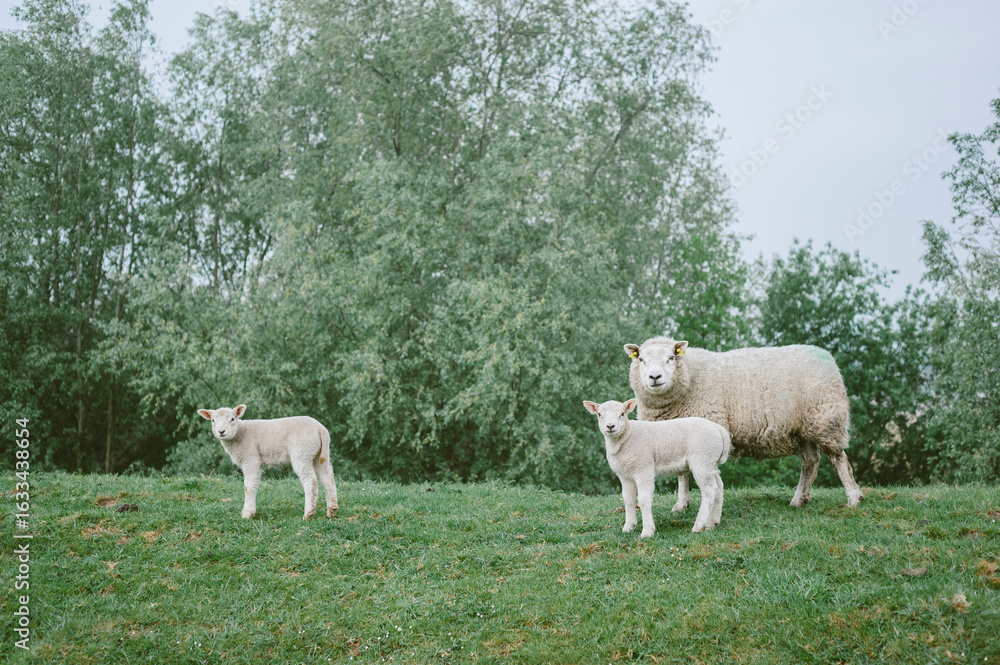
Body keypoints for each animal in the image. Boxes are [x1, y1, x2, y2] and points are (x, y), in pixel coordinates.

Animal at [197, 405, 338, 520]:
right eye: (213, 420)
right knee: (327, 478)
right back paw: (332, 510)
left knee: (310, 481)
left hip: (302, 453)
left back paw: (308, 513)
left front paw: (247, 513)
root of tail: (321, 429)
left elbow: (249, 486)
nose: (221, 431)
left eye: (232, 419)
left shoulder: (251, 458)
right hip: (320, 455)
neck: (240, 433)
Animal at [584, 398, 730, 536]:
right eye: (599, 414)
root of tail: (719, 429)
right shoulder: (624, 475)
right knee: (718, 487)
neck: (627, 436)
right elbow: (628, 499)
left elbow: (643, 499)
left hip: (702, 459)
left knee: (708, 490)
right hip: (710, 462)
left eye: (622, 414)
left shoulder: (643, 469)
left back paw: (699, 525)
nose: (610, 426)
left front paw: (647, 531)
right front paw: (629, 527)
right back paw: (712, 523)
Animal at [623, 336, 864, 510]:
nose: (655, 377)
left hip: (826, 418)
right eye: (641, 359)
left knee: (839, 459)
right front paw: (681, 505)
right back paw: (799, 499)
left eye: (671, 358)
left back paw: (854, 498)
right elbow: (682, 475)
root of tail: (828, 356)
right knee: (811, 462)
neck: (690, 379)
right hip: (802, 429)